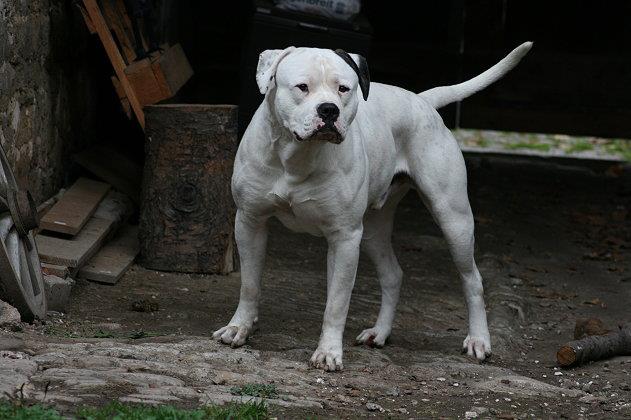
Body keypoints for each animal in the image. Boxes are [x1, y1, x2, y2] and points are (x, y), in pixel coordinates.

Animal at [214, 41, 532, 370]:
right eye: (302, 87)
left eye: (343, 89)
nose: (329, 109)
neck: (297, 156)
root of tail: (420, 100)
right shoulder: (250, 222)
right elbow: (249, 284)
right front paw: (239, 327)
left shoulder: (344, 238)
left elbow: (336, 303)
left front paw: (328, 351)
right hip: (373, 231)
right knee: (393, 274)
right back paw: (379, 332)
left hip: (453, 220)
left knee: (472, 280)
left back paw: (479, 339)